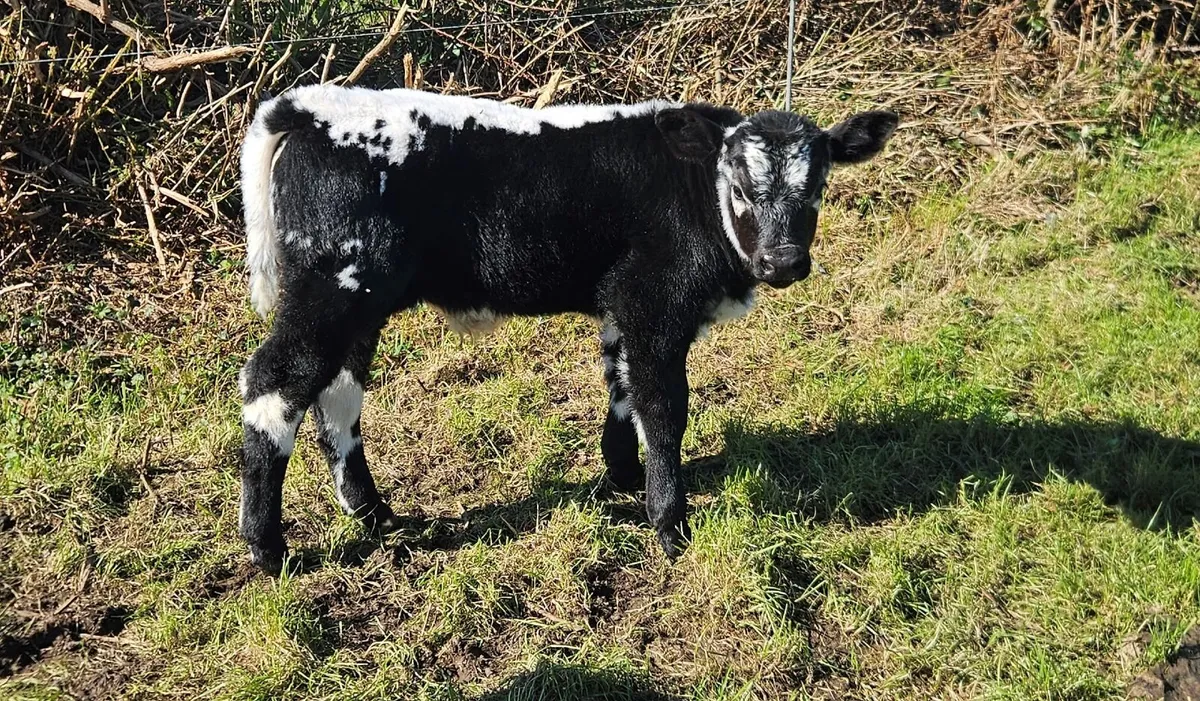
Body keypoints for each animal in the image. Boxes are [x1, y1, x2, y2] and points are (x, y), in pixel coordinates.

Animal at [237, 84, 897, 574]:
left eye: (817, 188)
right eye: (740, 186)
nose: (782, 262)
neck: (693, 192)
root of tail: (309, 106)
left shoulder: (622, 309)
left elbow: (623, 389)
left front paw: (623, 477)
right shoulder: (654, 305)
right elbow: (664, 408)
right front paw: (670, 525)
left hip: (360, 304)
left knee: (337, 394)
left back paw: (374, 514)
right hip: (333, 290)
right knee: (274, 383)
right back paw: (268, 549)